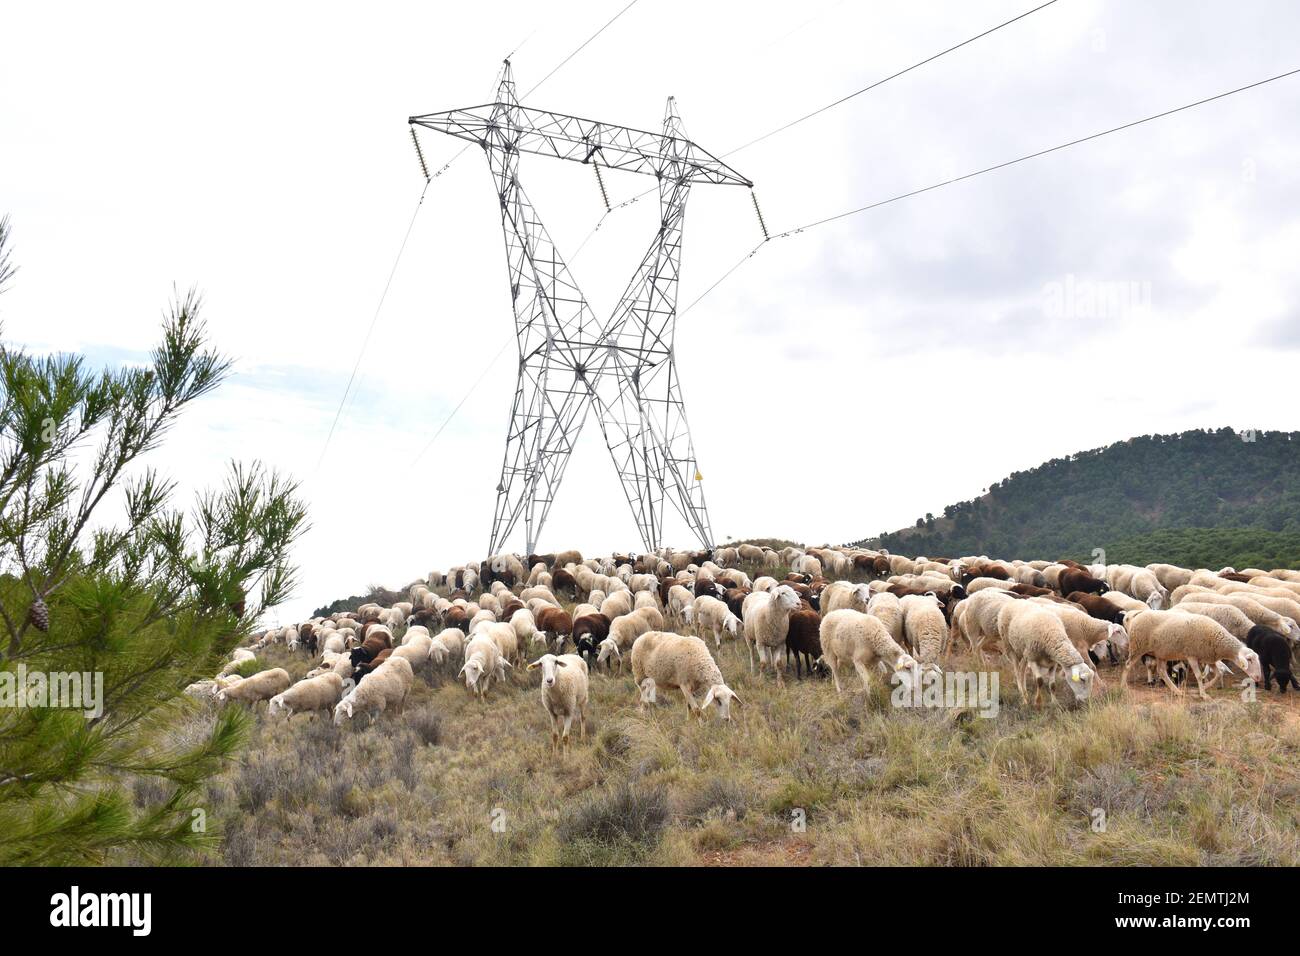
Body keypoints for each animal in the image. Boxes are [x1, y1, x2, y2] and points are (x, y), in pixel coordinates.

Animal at [1121, 610, 1263, 699]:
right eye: (1249, 659)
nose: (1258, 677)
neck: (1217, 640)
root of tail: (1137, 615)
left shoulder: (1209, 658)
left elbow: (1218, 674)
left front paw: (1204, 687)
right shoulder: (1192, 656)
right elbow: (1199, 676)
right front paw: (1203, 694)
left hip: (1161, 653)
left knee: (1162, 671)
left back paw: (1177, 691)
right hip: (1138, 647)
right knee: (1127, 665)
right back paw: (1123, 686)